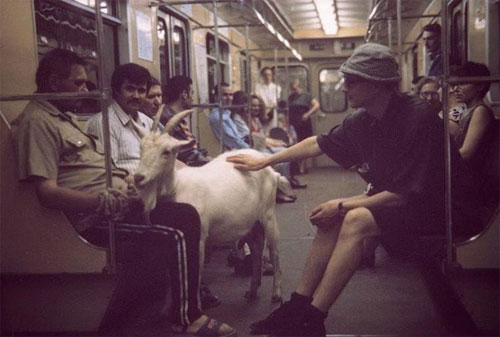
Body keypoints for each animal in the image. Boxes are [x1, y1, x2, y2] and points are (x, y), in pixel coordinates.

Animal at [131, 108, 284, 302]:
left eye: (166, 151)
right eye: (141, 147)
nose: (138, 177)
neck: (177, 187)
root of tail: (267, 165)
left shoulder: (199, 238)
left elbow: (196, 274)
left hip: (268, 213)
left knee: (274, 251)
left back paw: (276, 293)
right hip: (250, 222)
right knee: (256, 248)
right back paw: (252, 290)